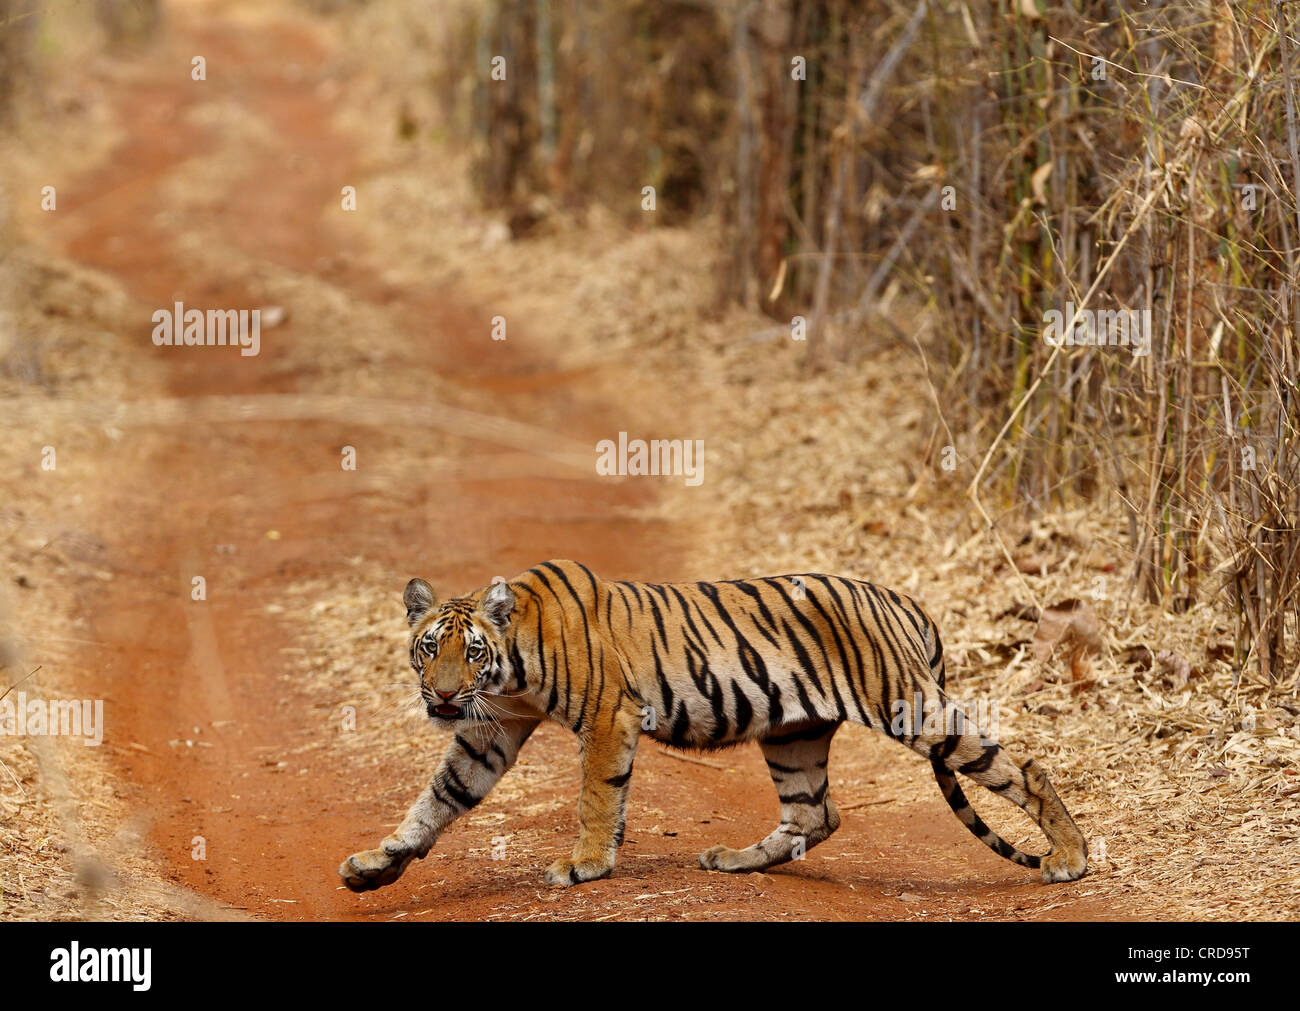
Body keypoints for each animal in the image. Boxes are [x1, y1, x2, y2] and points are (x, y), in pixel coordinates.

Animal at [338, 558, 1086, 888]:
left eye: (471, 652)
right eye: (428, 649)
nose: (442, 698)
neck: (510, 670)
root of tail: (904, 598)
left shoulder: (607, 715)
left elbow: (596, 796)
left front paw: (585, 864)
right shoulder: (488, 732)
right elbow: (437, 798)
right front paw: (377, 862)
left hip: (913, 708)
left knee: (1024, 767)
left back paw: (1071, 859)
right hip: (793, 733)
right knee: (815, 813)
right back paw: (734, 859)